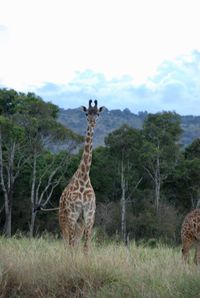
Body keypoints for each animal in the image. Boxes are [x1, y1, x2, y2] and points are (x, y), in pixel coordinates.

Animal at [58, 99, 103, 250]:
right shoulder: (73, 214)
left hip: (79, 223)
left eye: (98, 114)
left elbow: (86, 246)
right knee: (67, 242)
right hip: (64, 219)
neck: (83, 177)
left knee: (75, 243)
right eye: (86, 113)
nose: (92, 122)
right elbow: (72, 244)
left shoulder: (89, 215)